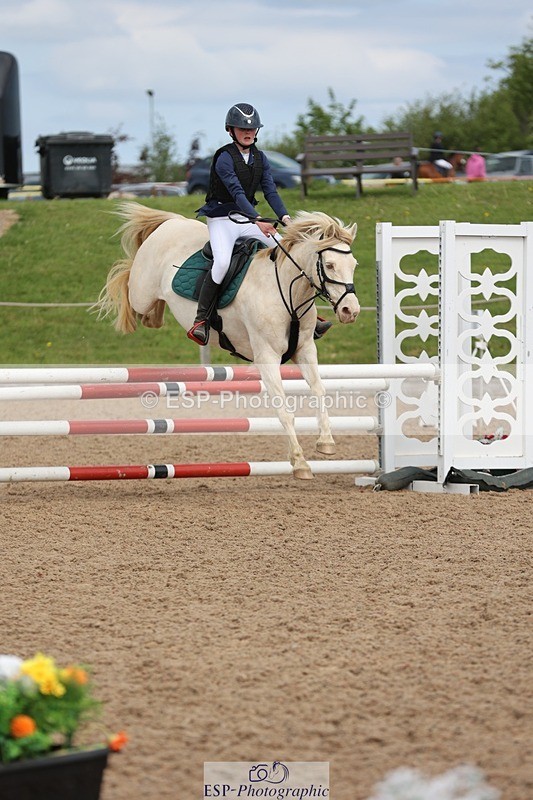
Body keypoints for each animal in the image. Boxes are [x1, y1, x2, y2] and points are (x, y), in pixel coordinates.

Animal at [94, 203, 360, 479]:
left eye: (353, 264)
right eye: (329, 265)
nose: (351, 311)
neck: (288, 291)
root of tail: (172, 222)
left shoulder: (306, 349)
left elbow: (319, 391)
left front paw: (326, 442)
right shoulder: (267, 357)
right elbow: (284, 410)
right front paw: (300, 463)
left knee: (152, 316)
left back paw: (157, 317)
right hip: (141, 293)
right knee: (127, 280)